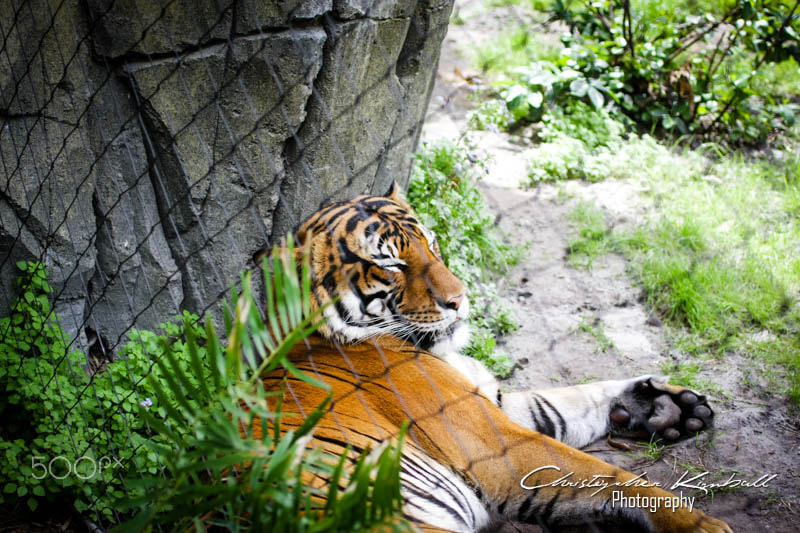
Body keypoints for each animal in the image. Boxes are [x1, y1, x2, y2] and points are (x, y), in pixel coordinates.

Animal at [258, 184, 732, 532]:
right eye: (391, 265)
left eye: (432, 245)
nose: (459, 298)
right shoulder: (489, 440)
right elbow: (607, 473)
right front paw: (701, 525)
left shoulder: (493, 402)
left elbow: (570, 402)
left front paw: (668, 408)